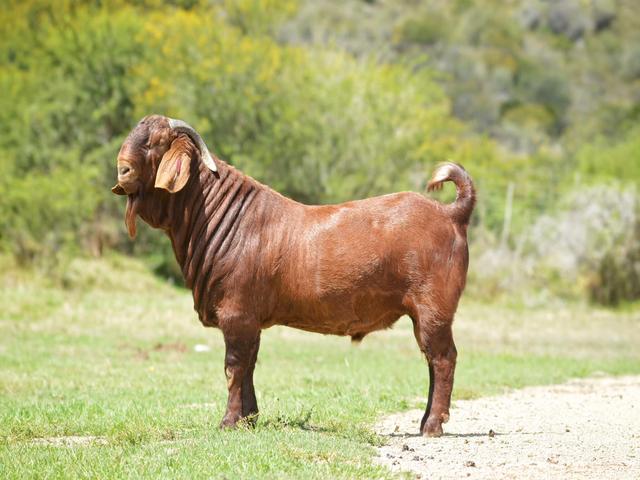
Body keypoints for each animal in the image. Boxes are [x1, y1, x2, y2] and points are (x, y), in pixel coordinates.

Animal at [111, 115, 475, 436]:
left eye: (157, 142)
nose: (122, 169)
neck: (215, 213)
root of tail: (450, 213)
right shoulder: (251, 320)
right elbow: (249, 364)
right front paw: (250, 419)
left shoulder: (236, 313)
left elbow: (234, 365)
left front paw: (229, 421)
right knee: (432, 359)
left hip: (433, 309)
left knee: (443, 358)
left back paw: (432, 425)